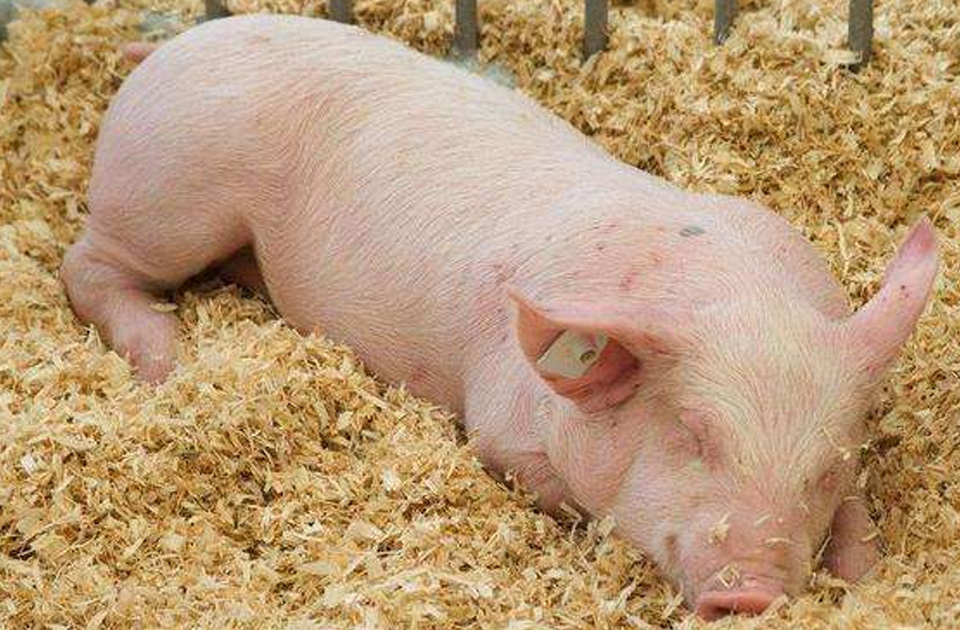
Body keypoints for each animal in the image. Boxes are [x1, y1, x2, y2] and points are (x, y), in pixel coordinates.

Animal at [61, 14, 939, 619]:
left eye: (824, 467)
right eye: (694, 436)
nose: (750, 593)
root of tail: (172, 49)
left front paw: (866, 577)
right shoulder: (502, 424)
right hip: (171, 197)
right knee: (85, 264)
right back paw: (166, 360)